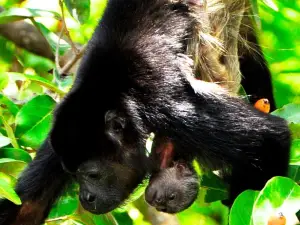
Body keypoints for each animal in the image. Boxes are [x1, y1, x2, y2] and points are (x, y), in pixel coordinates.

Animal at [0, 0, 290, 224]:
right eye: (72, 174)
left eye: (92, 174)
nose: (86, 197)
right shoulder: (62, 131)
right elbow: (28, 207)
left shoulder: (171, 110)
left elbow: (270, 137)